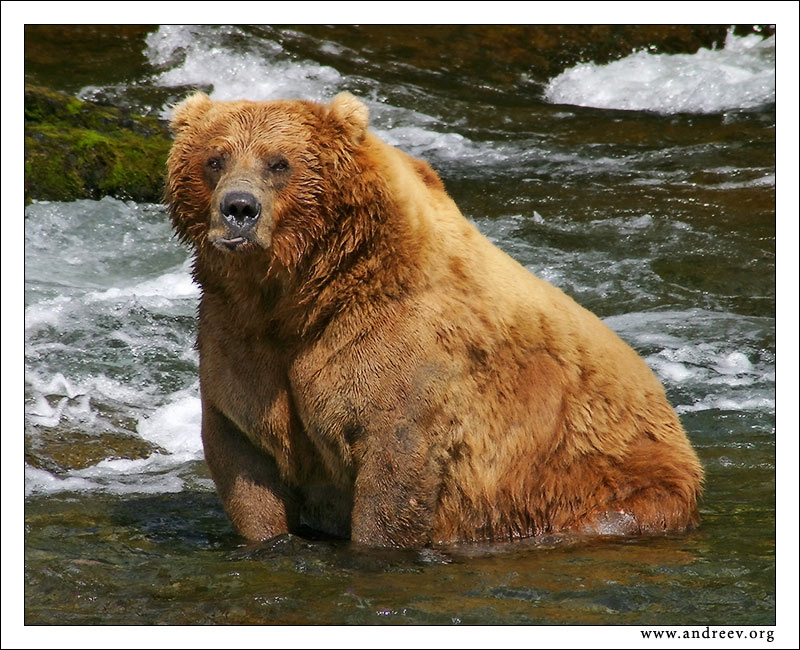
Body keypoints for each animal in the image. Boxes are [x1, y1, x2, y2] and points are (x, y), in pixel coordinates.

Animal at [166, 91, 703, 547]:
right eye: (215, 159)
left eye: (280, 162)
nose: (239, 208)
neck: (299, 291)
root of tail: (669, 411)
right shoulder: (239, 336)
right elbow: (246, 459)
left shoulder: (396, 341)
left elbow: (394, 465)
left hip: (601, 476)